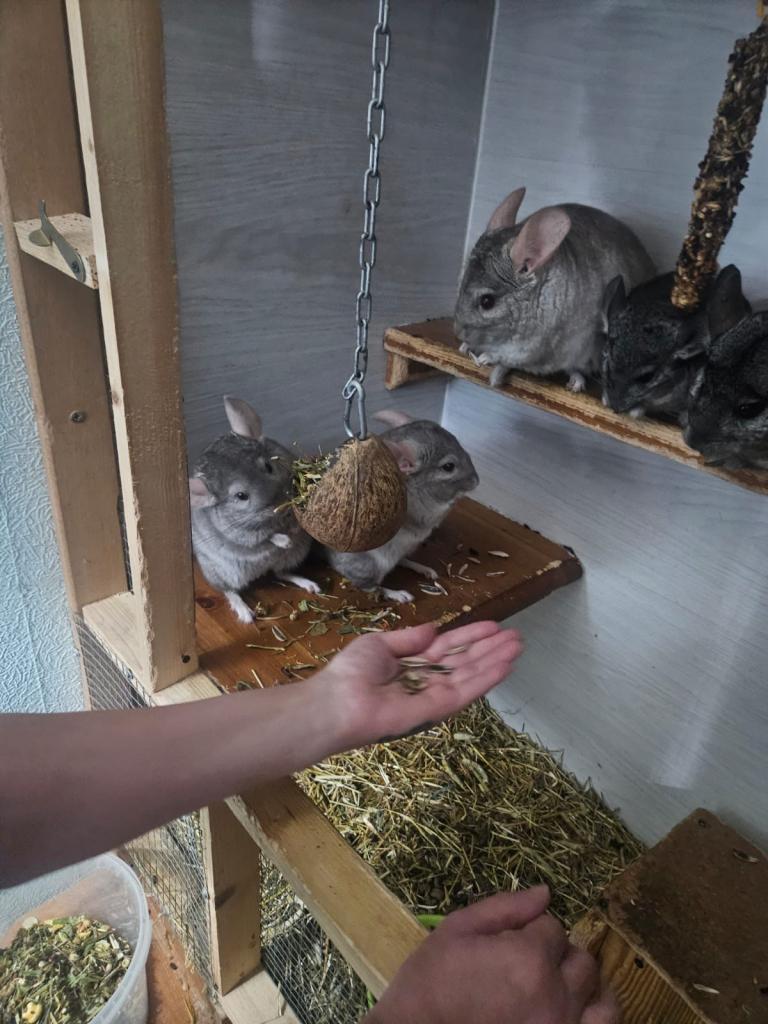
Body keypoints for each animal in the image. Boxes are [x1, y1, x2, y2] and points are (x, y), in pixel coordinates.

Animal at [189, 396, 317, 623]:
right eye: (241, 496)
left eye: (268, 466)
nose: (280, 506)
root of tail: (262, 571)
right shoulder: (242, 535)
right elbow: (266, 537)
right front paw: (285, 539)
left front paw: (295, 526)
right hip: (221, 572)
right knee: (229, 590)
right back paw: (246, 614)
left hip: (295, 555)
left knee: (281, 573)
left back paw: (309, 584)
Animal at [326, 411, 479, 603]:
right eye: (449, 466)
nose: (477, 481)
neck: (414, 483)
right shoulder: (423, 512)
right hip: (372, 566)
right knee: (369, 587)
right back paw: (399, 594)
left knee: (402, 562)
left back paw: (424, 569)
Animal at [454, 186, 655, 392]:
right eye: (460, 286)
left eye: (487, 302)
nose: (457, 331)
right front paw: (465, 347)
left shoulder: (528, 349)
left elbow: (504, 359)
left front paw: (486, 361)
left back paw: (576, 384)